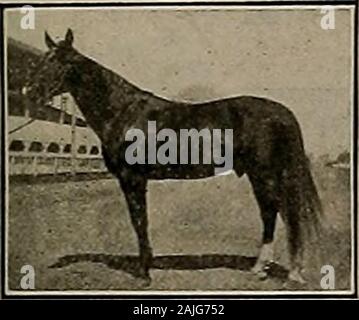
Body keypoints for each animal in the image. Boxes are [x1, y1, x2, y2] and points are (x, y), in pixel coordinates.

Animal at [23, 29, 324, 284]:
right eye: (42, 60)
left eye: (60, 62)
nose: (29, 92)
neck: (124, 112)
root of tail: (281, 112)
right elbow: (139, 221)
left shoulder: (133, 178)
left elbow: (139, 221)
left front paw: (144, 273)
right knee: (275, 213)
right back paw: (267, 269)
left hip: (265, 174)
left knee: (276, 214)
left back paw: (277, 271)